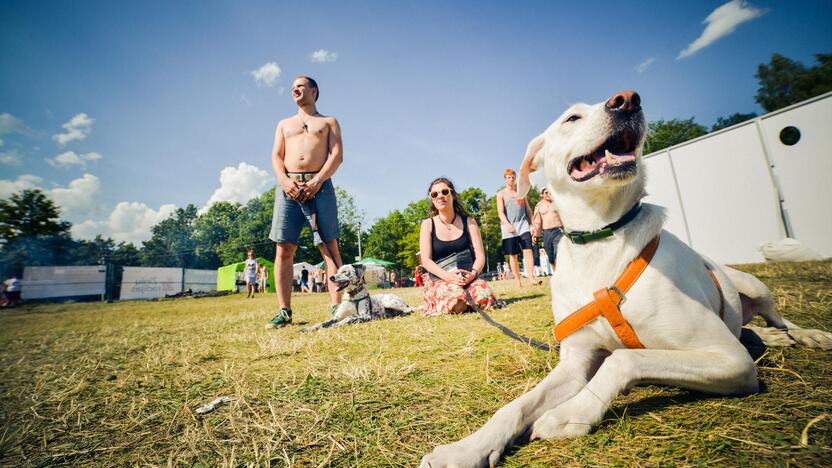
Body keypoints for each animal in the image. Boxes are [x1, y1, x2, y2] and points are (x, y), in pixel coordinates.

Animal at [422, 89, 832, 466]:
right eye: (571, 118)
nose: (627, 100)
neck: (600, 236)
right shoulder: (575, 362)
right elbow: (517, 404)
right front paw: (467, 448)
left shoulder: (729, 359)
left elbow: (625, 359)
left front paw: (570, 414)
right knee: (751, 329)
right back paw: (772, 338)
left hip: (752, 285)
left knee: (776, 318)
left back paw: (805, 335)